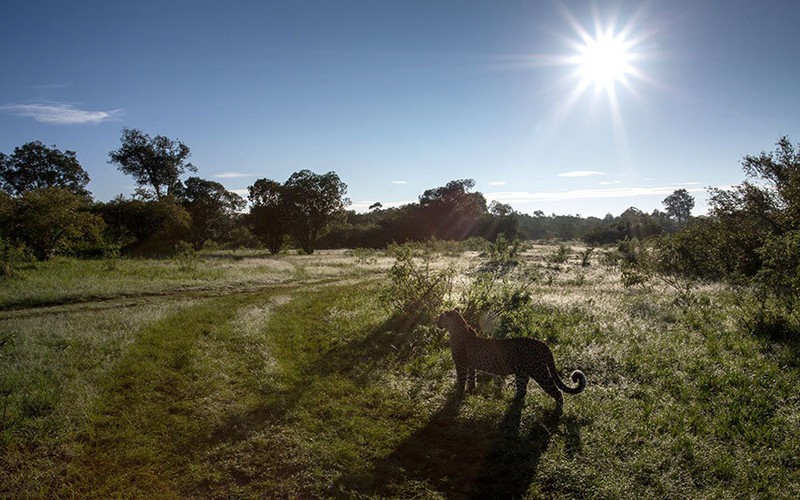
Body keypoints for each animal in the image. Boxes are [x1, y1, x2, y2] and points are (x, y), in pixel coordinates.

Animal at [438, 308, 588, 406]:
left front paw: (457, 395)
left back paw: (557, 413)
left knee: (557, 392)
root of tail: (542, 343)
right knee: (522, 390)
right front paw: (469, 391)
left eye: (440, 317)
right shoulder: (470, 365)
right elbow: (470, 379)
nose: (436, 322)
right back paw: (512, 402)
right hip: (522, 373)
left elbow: (461, 380)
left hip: (539, 372)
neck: (456, 328)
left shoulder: (461, 364)